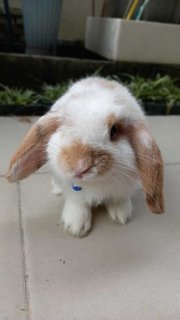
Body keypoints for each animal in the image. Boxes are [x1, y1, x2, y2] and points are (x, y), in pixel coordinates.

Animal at [6, 77, 165, 238]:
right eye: (63, 126)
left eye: (114, 130)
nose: (80, 165)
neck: (95, 183)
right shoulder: (73, 193)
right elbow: (78, 204)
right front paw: (76, 228)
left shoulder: (123, 187)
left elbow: (118, 198)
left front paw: (121, 216)